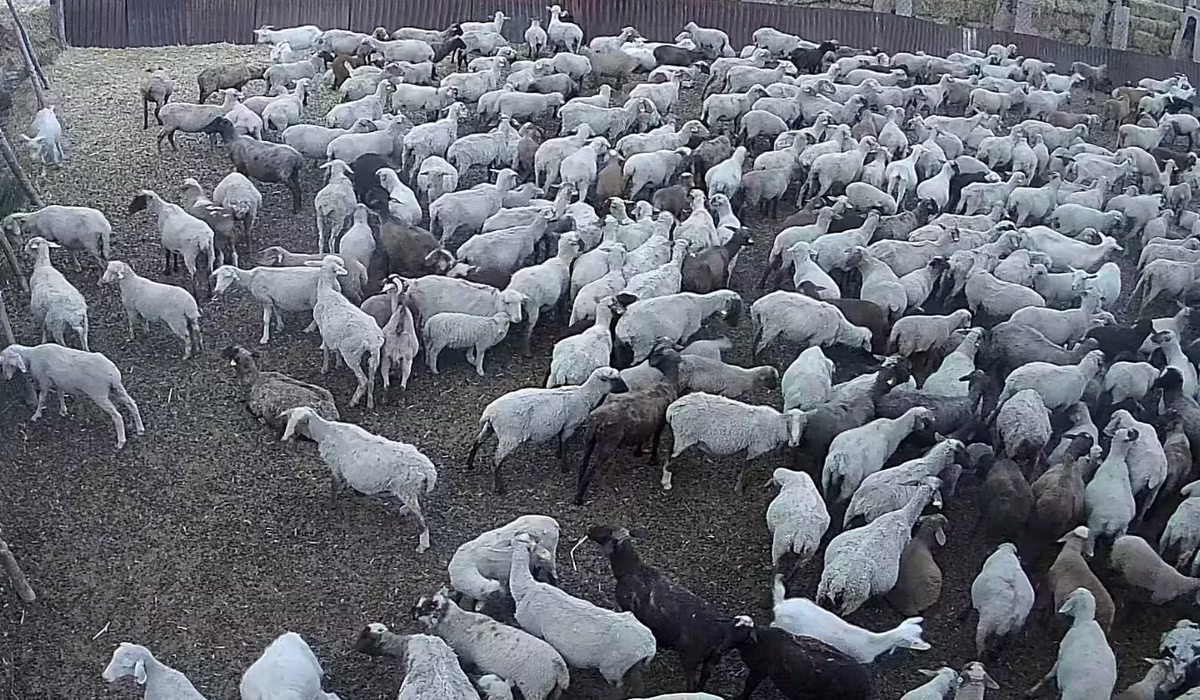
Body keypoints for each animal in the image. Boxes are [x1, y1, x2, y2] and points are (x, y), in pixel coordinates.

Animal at [0, 344, 144, 449]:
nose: (6, 378)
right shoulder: (58, 381)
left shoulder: (45, 381)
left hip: (99, 394)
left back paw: (121, 442)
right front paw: (63, 410)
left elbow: (41, 399)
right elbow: (60, 393)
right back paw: (140, 429)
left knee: (117, 415)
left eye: (9, 364)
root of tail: (112, 374)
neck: (31, 356)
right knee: (132, 404)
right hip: (118, 388)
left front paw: (36, 415)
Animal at [282, 406, 435, 551]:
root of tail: (428, 470)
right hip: (411, 490)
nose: (284, 439)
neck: (325, 432)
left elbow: (334, 486)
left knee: (421, 518)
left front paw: (332, 505)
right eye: (289, 419)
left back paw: (423, 545)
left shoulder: (335, 466)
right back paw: (404, 510)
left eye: (298, 423)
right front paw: (357, 493)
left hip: (405, 489)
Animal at [466, 367, 628, 493]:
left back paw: (470, 464)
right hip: (510, 437)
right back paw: (499, 488)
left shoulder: (563, 425)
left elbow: (561, 440)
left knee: (477, 442)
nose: (627, 389)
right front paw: (564, 467)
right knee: (496, 461)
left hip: (490, 428)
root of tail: (489, 413)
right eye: (615, 379)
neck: (586, 395)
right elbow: (565, 443)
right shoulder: (570, 425)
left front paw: (558, 455)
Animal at [509, 533, 656, 689]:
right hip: (632, 666)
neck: (526, 587)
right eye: (514, 543)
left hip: (614, 669)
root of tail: (649, 645)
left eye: (529, 547)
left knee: (618, 685)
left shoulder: (533, 629)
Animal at [662, 392, 806, 493]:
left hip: (681, 436)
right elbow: (747, 465)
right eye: (789, 424)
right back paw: (666, 482)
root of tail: (673, 408)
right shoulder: (756, 447)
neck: (776, 425)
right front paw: (739, 489)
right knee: (670, 456)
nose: (794, 443)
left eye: (804, 424)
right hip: (684, 436)